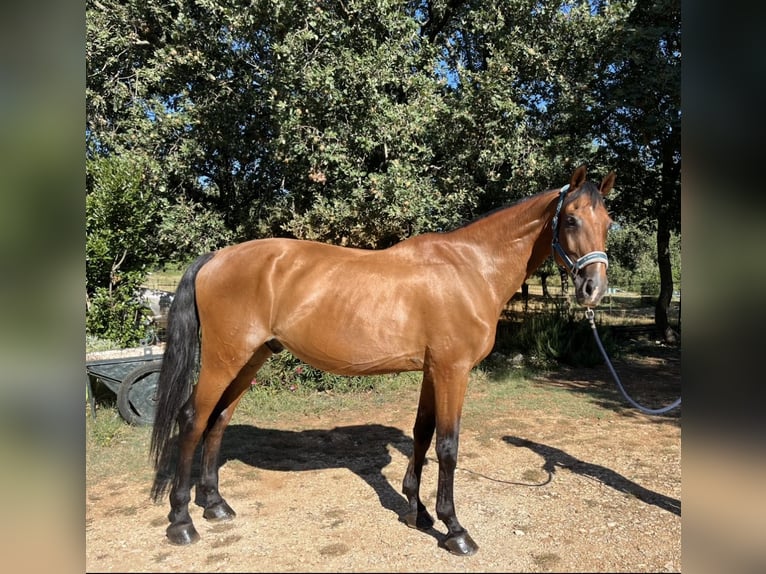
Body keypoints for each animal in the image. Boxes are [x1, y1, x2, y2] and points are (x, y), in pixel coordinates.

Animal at [150, 164, 616, 556]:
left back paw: (215, 504)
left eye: (608, 223)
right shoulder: (452, 370)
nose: (592, 289)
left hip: (250, 359)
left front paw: (418, 511)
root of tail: (216, 257)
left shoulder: (433, 370)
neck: (470, 269)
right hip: (223, 358)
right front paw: (454, 529)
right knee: (193, 419)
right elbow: (448, 446)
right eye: (571, 220)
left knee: (219, 420)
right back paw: (182, 521)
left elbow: (423, 435)